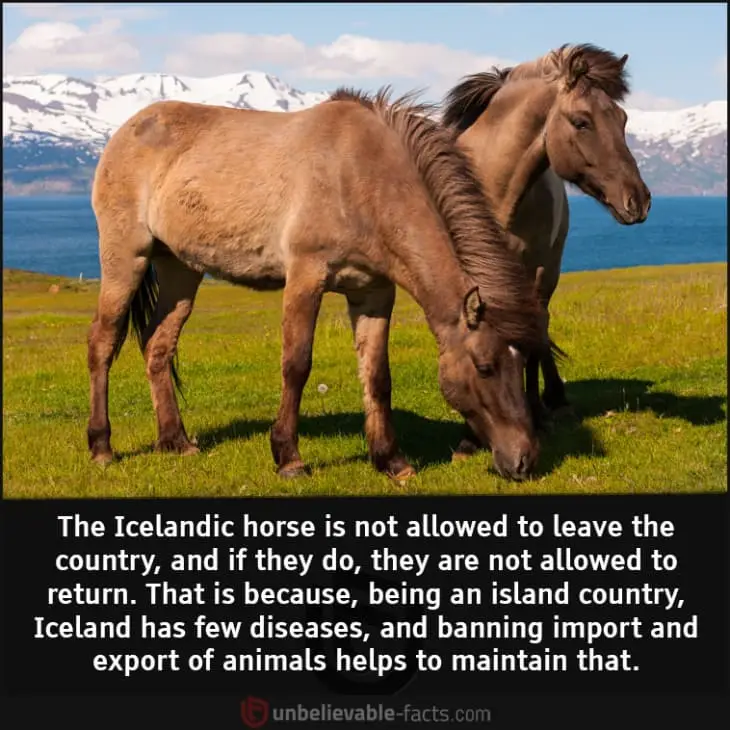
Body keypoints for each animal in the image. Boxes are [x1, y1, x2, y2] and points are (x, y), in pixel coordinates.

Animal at [86, 87, 551, 483]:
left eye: (523, 363)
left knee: (158, 345)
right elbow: (296, 366)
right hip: (126, 257)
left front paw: (391, 461)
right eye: (485, 366)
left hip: (180, 268)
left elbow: (377, 376)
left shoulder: (373, 293)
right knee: (103, 343)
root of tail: (130, 128)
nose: (524, 460)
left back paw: (175, 441)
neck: (361, 178)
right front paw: (288, 458)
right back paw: (102, 446)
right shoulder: (305, 279)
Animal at [441, 43, 652, 451]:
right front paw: (470, 436)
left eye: (622, 118)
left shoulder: (534, 273)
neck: (493, 193)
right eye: (582, 122)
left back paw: (551, 400)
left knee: (539, 330)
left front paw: (533, 414)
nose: (638, 200)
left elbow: (531, 342)